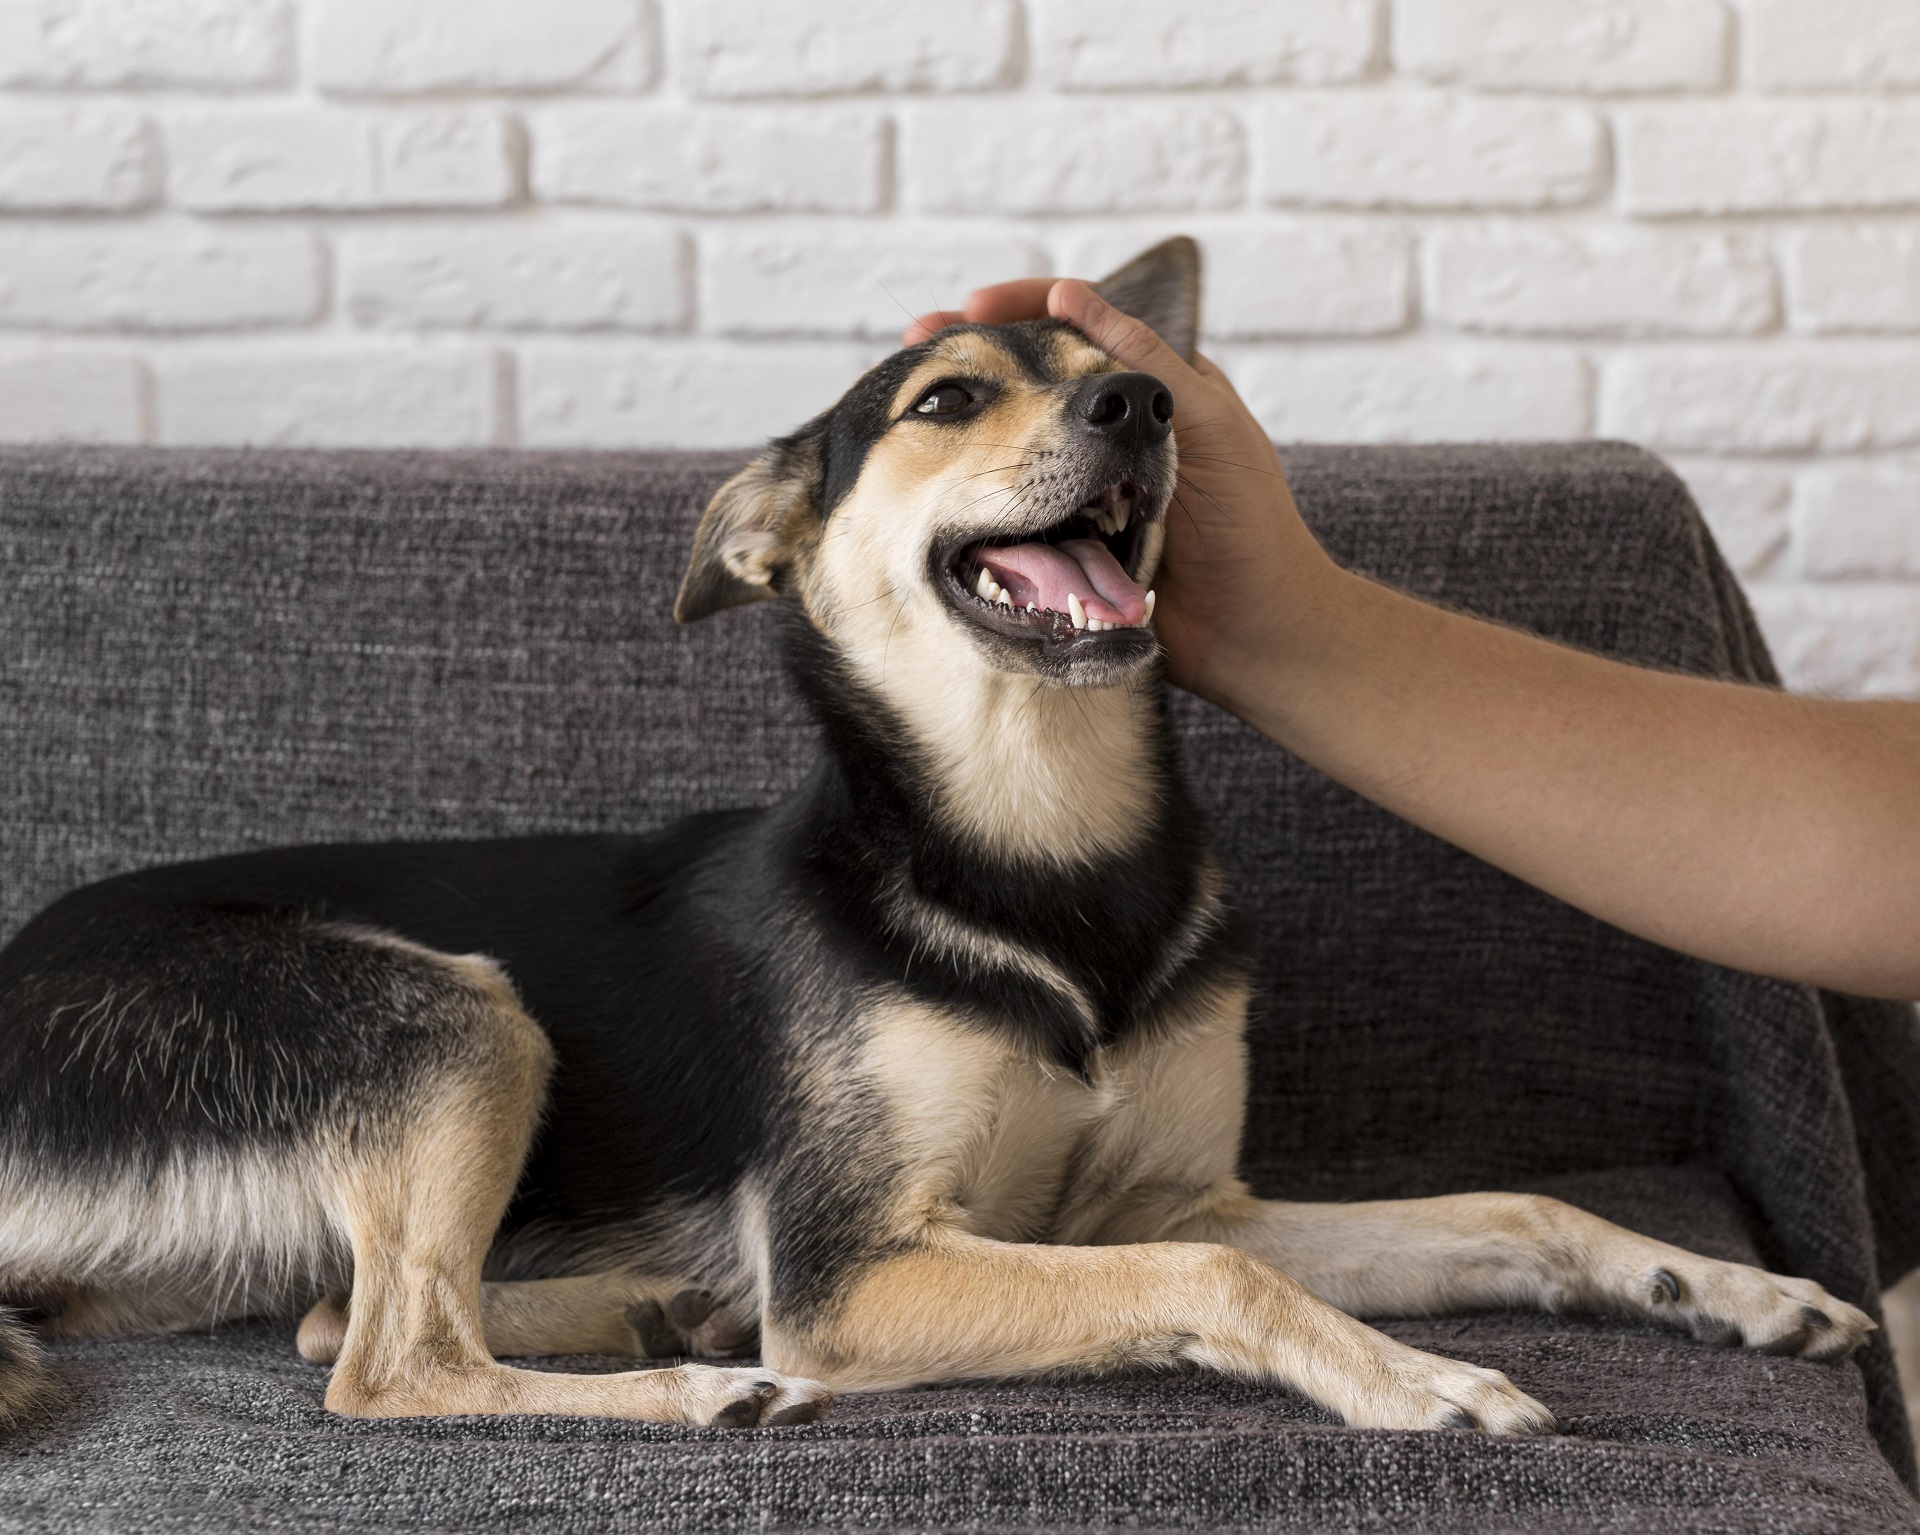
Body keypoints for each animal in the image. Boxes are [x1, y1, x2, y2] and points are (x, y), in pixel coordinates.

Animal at [0, 243, 1873, 1444]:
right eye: (946, 394)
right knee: (381, 1357)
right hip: (450, 1011)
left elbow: (1514, 1202)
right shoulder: (857, 1267)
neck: (1041, 837)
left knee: (336, 1313)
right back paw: (701, 1378)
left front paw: (1723, 1289)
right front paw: (1418, 1378)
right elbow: (1209, 1275)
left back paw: (660, 1313)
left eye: (1136, 376)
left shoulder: (1172, 1193)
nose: (1144, 404)